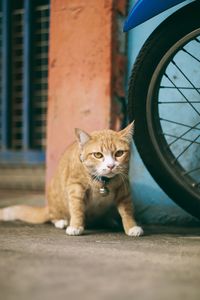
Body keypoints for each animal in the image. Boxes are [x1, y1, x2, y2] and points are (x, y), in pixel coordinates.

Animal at [0, 122, 144, 237]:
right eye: (98, 155)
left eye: (119, 153)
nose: (111, 166)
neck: (102, 181)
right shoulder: (75, 187)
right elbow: (77, 208)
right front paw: (75, 226)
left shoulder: (124, 189)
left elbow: (127, 210)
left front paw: (131, 226)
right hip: (55, 198)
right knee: (53, 216)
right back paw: (61, 221)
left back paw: (108, 220)